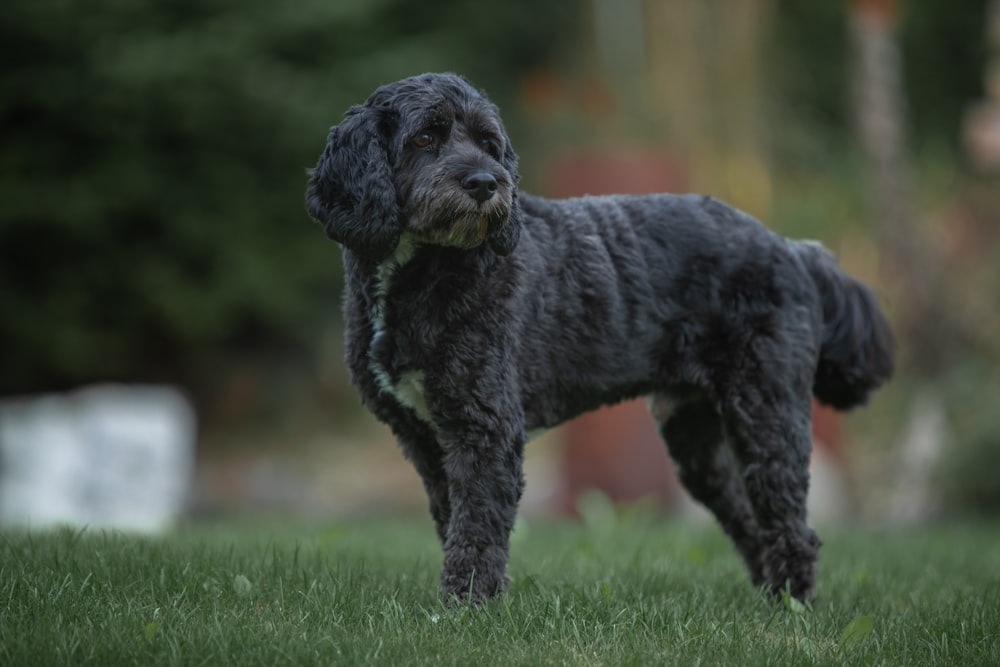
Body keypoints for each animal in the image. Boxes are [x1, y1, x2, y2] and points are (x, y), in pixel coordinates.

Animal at [302, 73, 892, 604]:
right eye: (426, 137)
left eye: (489, 143)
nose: (486, 182)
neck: (422, 268)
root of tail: (792, 248)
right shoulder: (427, 440)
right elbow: (456, 520)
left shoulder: (485, 427)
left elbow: (479, 525)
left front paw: (467, 605)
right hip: (696, 437)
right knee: (749, 515)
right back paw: (771, 597)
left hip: (766, 408)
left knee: (790, 518)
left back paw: (793, 602)